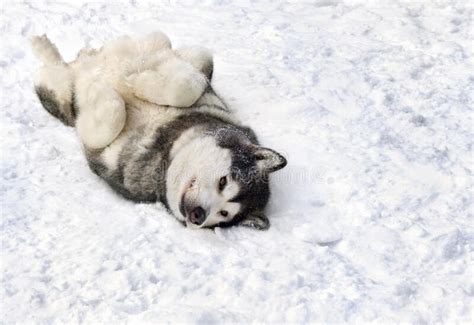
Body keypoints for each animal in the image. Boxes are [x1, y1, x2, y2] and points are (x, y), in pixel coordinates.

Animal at [32, 31, 288, 229]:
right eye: (224, 182)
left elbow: (111, 116)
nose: (198, 216)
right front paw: (135, 82)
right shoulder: (205, 84)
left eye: (223, 214)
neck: (171, 138)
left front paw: (103, 92)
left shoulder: (111, 163)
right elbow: (188, 85)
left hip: (58, 97)